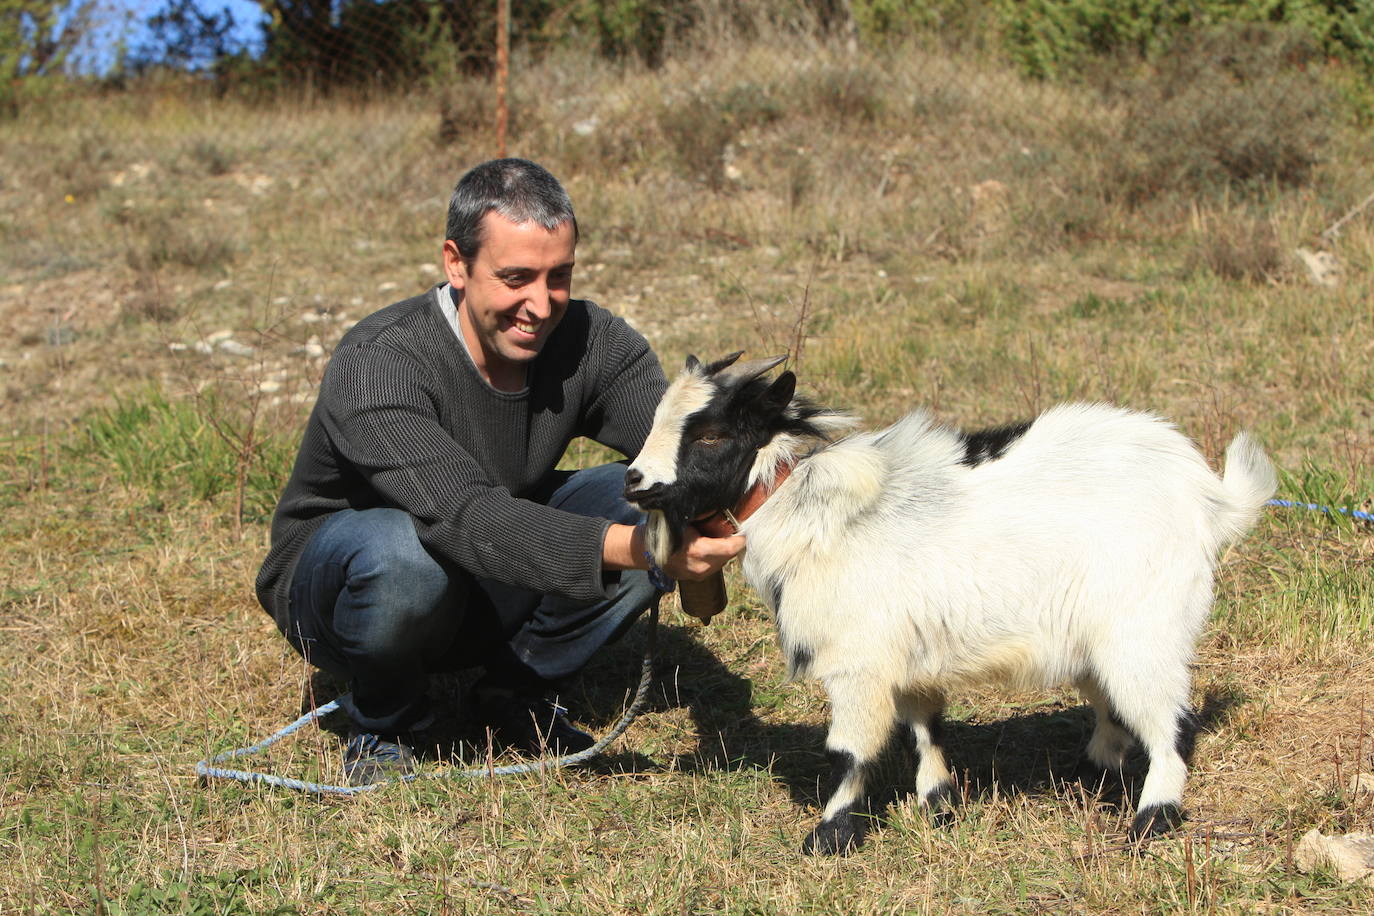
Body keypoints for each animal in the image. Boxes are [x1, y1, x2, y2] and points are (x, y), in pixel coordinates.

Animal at [623, 354, 1275, 856]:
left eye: (711, 434)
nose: (633, 481)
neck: (811, 512)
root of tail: (1210, 498)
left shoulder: (859, 662)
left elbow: (848, 753)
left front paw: (829, 836)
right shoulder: (909, 653)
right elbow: (925, 727)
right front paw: (939, 804)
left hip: (1143, 626)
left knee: (1170, 722)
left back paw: (1150, 820)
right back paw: (1095, 769)